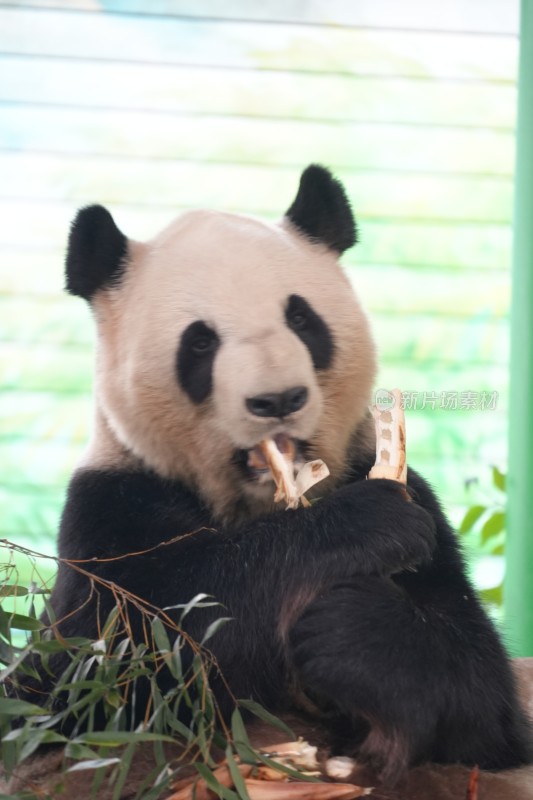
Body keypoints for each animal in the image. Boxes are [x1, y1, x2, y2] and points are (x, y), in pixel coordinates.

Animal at [17, 166, 532, 784]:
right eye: (200, 341)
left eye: (302, 319)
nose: (278, 399)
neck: (263, 504)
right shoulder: (108, 517)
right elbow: (144, 646)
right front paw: (363, 530)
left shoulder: (407, 499)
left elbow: (481, 705)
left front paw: (353, 630)